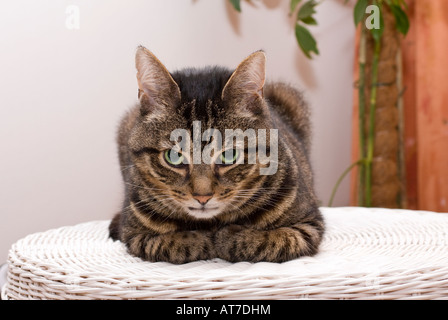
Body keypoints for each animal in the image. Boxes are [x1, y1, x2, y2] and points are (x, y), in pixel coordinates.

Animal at [110, 46, 324, 264]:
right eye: (174, 156)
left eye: (229, 155)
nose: (202, 197)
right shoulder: (134, 234)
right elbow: (174, 243)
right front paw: (204, 239)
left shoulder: (308, 225)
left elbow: (267, 240)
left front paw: (227, 235)